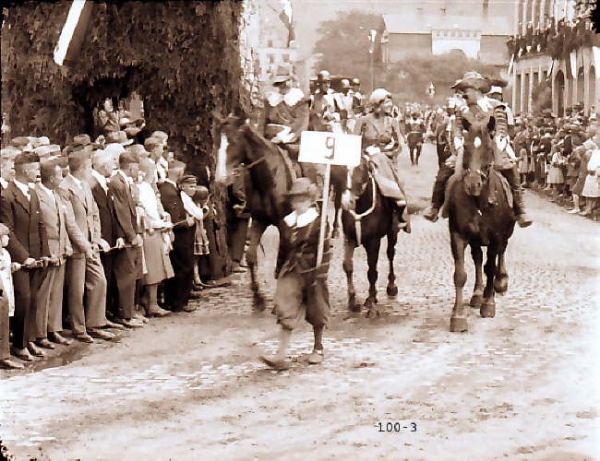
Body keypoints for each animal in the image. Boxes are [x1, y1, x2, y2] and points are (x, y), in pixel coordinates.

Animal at [214, 114, 296, 312]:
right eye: (217, 142)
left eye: (234, 141)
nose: (220, 178)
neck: (269, 177)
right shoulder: (259, 220)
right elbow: (251, 257)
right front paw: (258, 299)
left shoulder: (284, 223)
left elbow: (283, 257)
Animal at [340, 153, 400, 318]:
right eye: (343, 168)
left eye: (361, 167)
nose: (347, 201)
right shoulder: (349, 238)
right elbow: (348, 266)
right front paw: (352, 301)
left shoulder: (373, 242)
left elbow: (372, 272)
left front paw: (372, 306)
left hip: (392, 233)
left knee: (390, 254)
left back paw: (391, 286)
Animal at [446, 108, 516, 330]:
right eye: (466, 146)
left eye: (488, 147)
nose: (473, 183)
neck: (479, 202)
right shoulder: (458, 235)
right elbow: (460, 274)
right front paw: (458, 315)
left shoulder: (496, 237)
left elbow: (490, 268)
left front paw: (488, 304)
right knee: (477, 259)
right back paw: (477, 294)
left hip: (506, 233)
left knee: (500, 254)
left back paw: (500, 283)